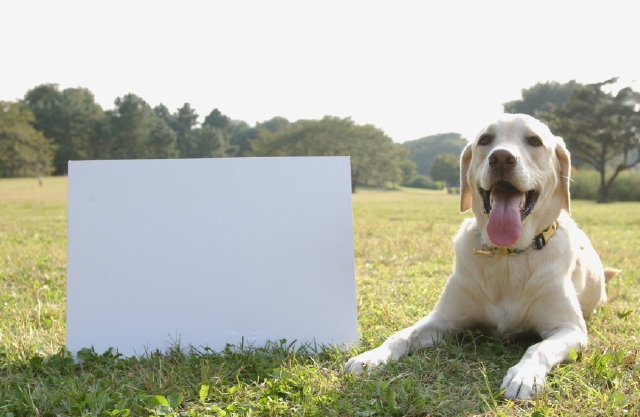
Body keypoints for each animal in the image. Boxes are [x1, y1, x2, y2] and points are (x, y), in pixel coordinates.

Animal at [344, 112, 620, 398]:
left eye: (534, 141)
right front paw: (371, 357)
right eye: (485, 140)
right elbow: (402, 334)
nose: (501, 158)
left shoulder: (570, 330)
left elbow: (537, 348)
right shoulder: (442, 319)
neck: (507, 255)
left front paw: (523, 375)